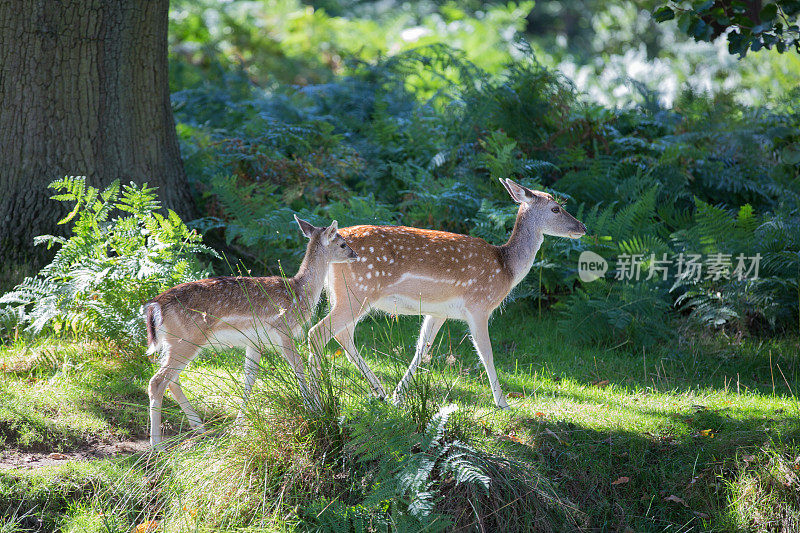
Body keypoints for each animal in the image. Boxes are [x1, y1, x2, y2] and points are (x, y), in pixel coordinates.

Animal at [143, 215, 356, 444]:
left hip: (175, 342)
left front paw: (239, 426)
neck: (300, 293)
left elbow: (249, 378)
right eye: (342, 243)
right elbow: (298, 367)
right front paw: (314, 410)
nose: (355, 254)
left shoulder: (255, 341)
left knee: (172, 381)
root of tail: (156, 306)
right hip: (186, 340)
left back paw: (201, 429)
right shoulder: (285, 330)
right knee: (157, 382)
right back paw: (157, 445)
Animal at [310, 178, 584, 408]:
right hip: (359, 292)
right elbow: (486, 352)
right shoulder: (479, 305)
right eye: (556, 209)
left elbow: (422, 348)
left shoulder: (438, 311)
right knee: (318, 332)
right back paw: (315, 398)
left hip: (343, 295)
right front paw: (503, 403)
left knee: (343, 336)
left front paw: (399, 395)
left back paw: (379, 390)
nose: (582, 227)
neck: (506, 268)